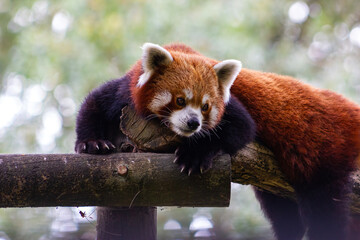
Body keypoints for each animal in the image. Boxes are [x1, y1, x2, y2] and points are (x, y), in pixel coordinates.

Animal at [75, 42, 360, 239]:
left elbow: (241, 128)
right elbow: (95, 103)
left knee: (325, 211)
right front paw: (91, 143)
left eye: (205, 107)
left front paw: (195, 154)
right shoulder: (125, 91)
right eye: (180, 100)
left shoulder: (233, 107)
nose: (193, 123)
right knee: (284, 211)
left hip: (325, 154)